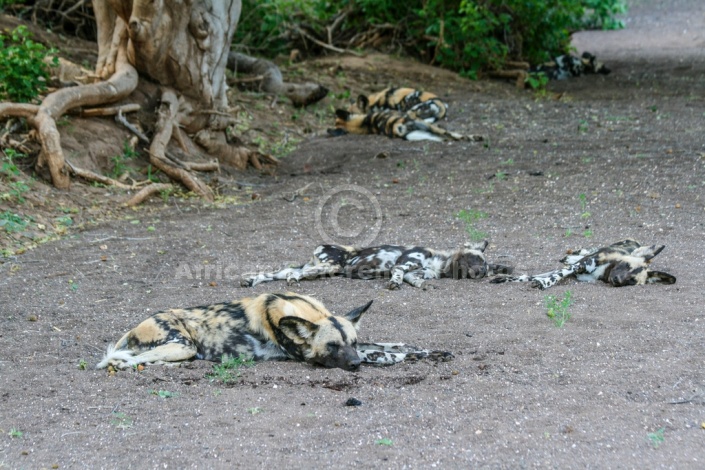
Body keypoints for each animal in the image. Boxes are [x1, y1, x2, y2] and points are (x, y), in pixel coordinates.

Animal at [490, 239, 676, 290]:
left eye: (631, 280)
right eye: (626, 266)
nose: (617, 280)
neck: (604, 271)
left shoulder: (576, 274)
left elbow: (531, 276)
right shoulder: (576, 268)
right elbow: (554, 275)